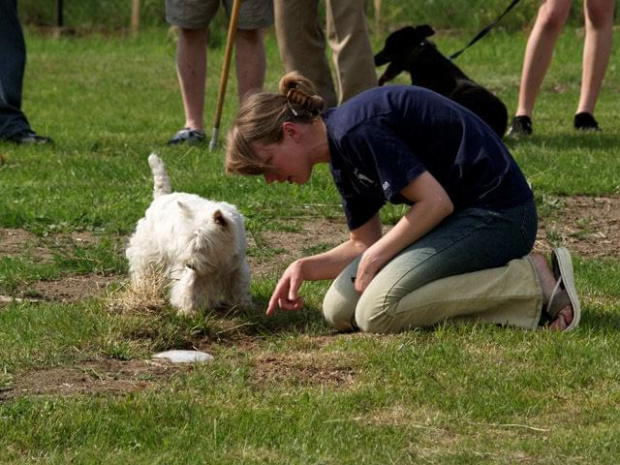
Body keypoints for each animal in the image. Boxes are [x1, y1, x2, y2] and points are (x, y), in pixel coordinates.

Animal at [124, 154, 251, 314]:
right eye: (190, 243)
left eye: (203, 245)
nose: (190, 264)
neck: (221, 258)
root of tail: (160, 197)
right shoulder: (190, 272)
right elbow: (187, 289)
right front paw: (187, 312)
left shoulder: (236, 267)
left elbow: (238, 286)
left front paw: (242, 304)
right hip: (147, 252)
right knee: (142, 271)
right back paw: (142, 289)